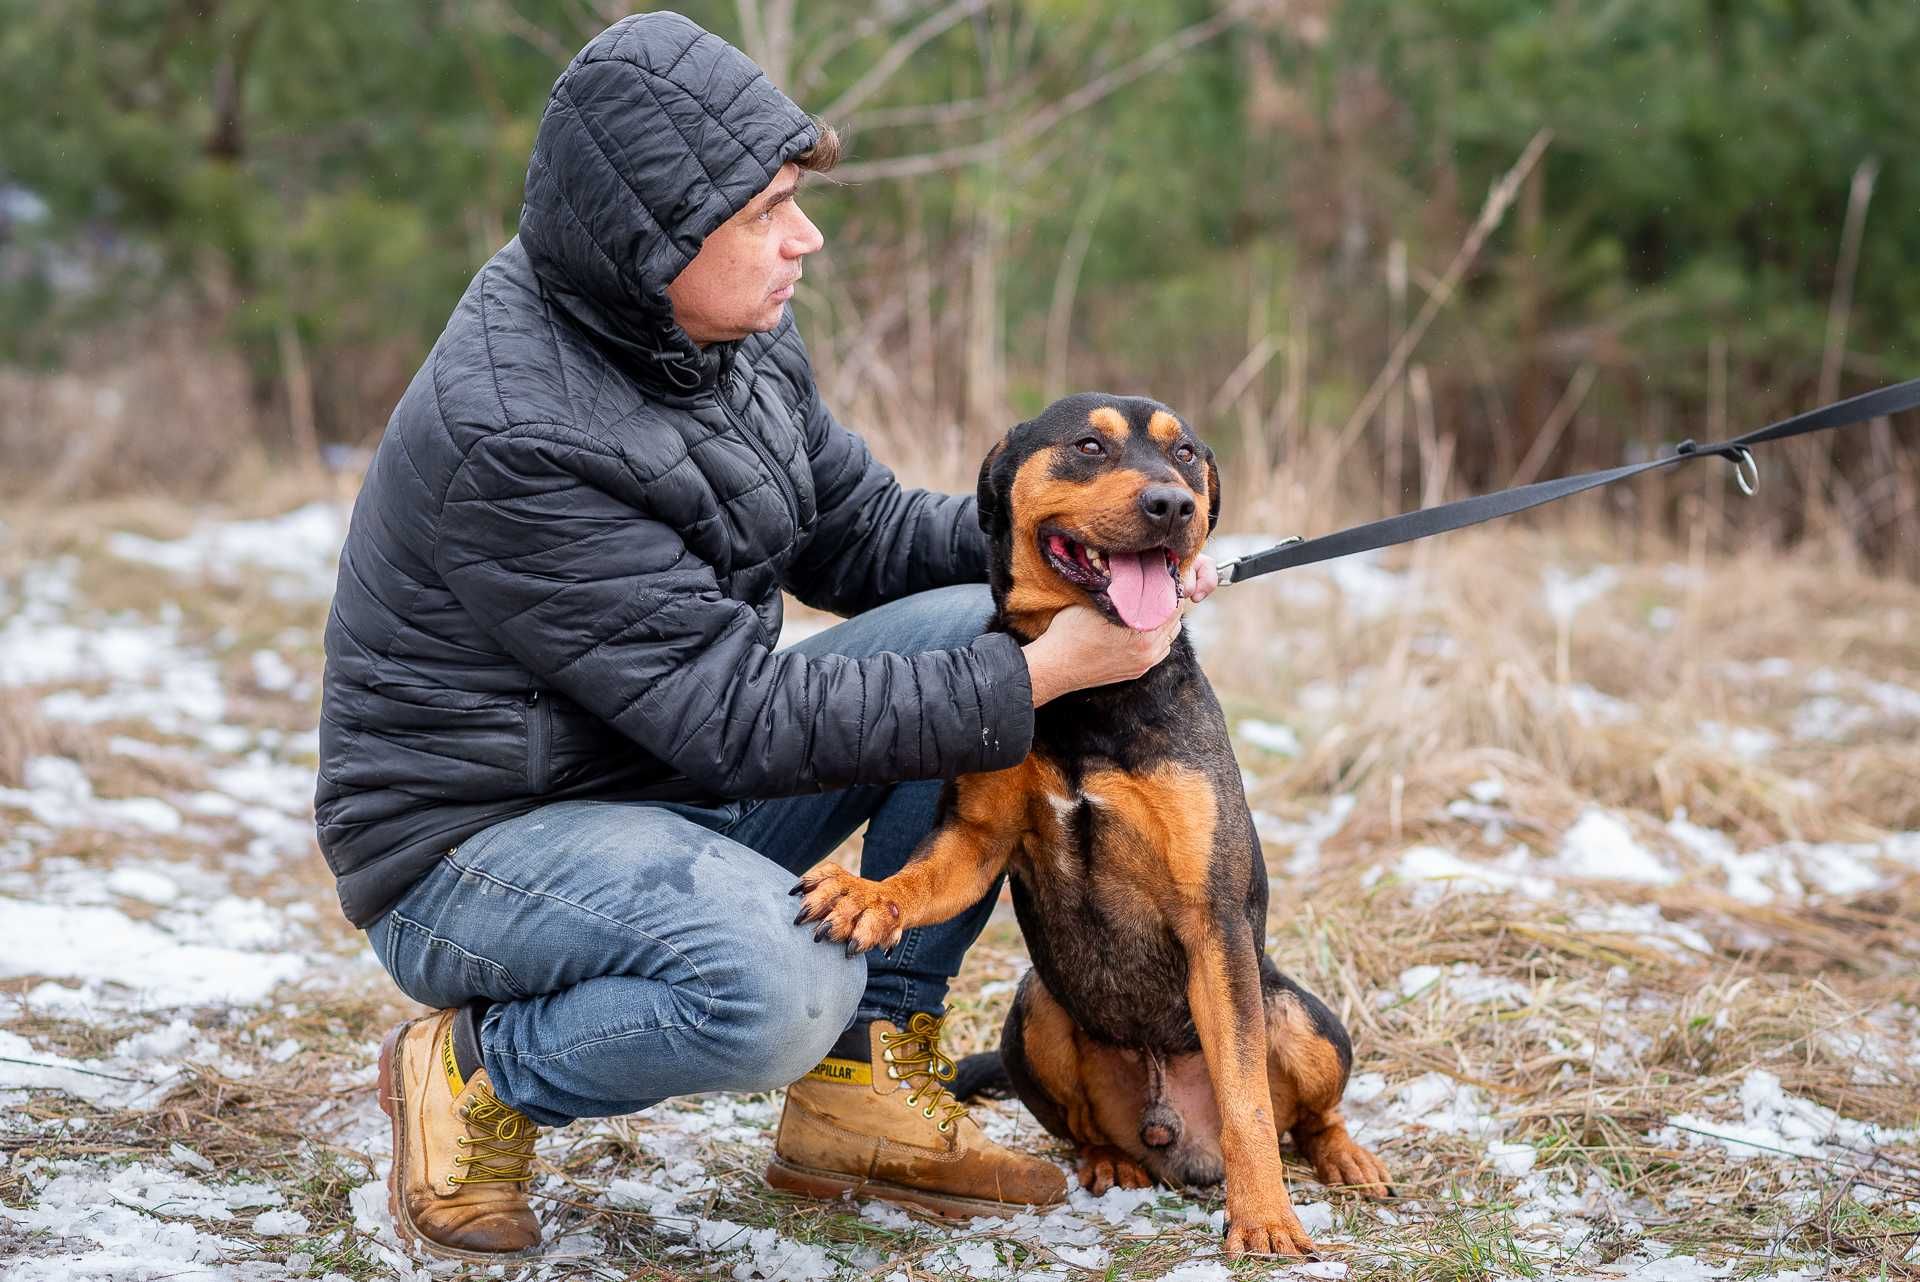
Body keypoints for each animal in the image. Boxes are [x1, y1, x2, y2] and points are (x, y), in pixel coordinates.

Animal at [787, 395, 1390, 1258]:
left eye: (1186, 454)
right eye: (1089, 446)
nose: (1171, 505)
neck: (1089, 699)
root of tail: (1178, 1141)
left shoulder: (1213, 917)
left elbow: (1246, 1099)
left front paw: (1267, 1220)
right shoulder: (975, 840)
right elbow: (920, 877)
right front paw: (864, 896)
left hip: (1298, 1016)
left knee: (1306, 1117)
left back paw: (1343, 1156)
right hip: (1034, 1011)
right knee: (1081, 1127)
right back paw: (1111, 1162)